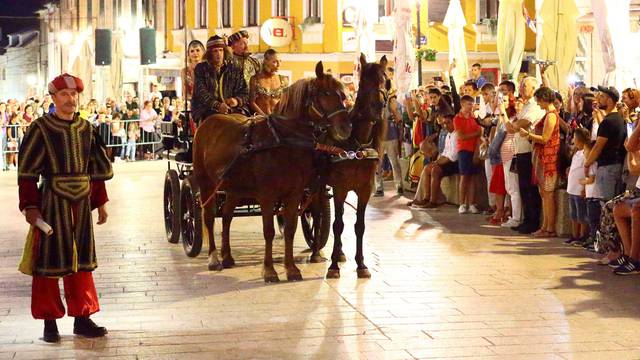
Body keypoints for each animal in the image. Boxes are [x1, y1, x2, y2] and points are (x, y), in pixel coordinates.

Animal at [191, 61, 350, 282]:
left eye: (342, 94)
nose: (346, 128)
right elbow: (268, 231)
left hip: (233, 188)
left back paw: (228, 256)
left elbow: (290, 229)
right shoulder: (267, 195)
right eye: (325, 93)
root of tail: (209, 122)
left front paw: (291, 268)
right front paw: (269, 270)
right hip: (206, 183)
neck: (283, 140)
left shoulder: (294, 194)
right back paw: (214, 258)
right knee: (209, 216)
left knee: (227, 216)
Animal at [316, 52, 390, 278]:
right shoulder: (340, 189)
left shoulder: (365, 189)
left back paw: (340, 253)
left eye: (385, 80)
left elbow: (360, 226)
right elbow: (338, 225)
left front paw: (362, 264)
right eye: (363, 81)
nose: (377, 108)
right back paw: (318, 251)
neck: (357, 144)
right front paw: (332, 266)